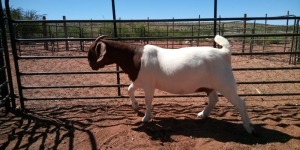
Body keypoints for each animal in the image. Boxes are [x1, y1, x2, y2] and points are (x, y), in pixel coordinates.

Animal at [86, 35, 255, 135]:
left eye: (93, 51)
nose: (91, 65)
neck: (135, 56)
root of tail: (224, 53)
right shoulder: (139, 80)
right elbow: (129, 89)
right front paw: (135, 107)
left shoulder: (148, 84)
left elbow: (148, 100)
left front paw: (146, 117)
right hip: (210, 85)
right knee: (214, 99)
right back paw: (202, 115)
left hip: (226, 84)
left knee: (241, 103)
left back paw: (249, 128)